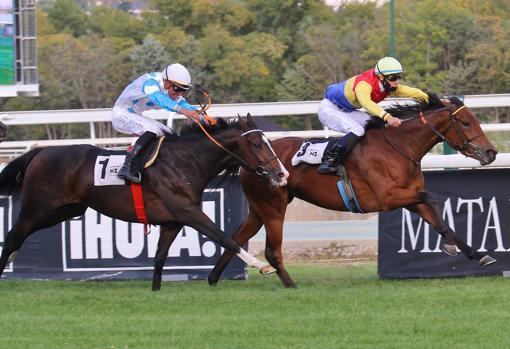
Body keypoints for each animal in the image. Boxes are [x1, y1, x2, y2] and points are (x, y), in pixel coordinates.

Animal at [0, 115, 288, 290]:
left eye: (267, 141)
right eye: (256, 143)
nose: (282, 174)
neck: (185, 161)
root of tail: (40, 152)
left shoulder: (172, 222)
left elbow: (160, 258)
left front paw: (155, 290)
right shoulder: (188, 212)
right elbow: (224, 237)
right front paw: (262, 266)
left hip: (65, 209)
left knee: (17, 238)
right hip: (37, 208)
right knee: (13, 236)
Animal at [208, 94, 498, 286]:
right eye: (466, 123)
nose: (492, 152)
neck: (398, 147)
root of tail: (246, 162)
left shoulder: (409, 198)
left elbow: (438, 218)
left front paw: (477, 254)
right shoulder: (388, 198)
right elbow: (433, 199)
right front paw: (450, 246)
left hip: (259, 208)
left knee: (234, 238)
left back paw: (213, 279)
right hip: (273, 207)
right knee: (270, 249)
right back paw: (290, 284)